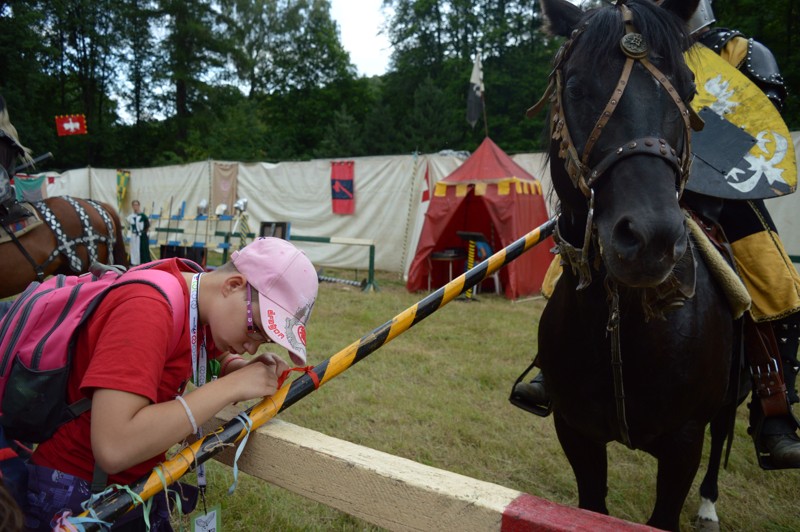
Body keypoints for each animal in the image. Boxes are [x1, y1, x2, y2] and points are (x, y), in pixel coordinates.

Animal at [536, 1, 740, 532]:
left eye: (688, 90)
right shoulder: (576, 432)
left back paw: (709, 504)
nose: (651, 240)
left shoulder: (684, 445)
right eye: (575, 88)